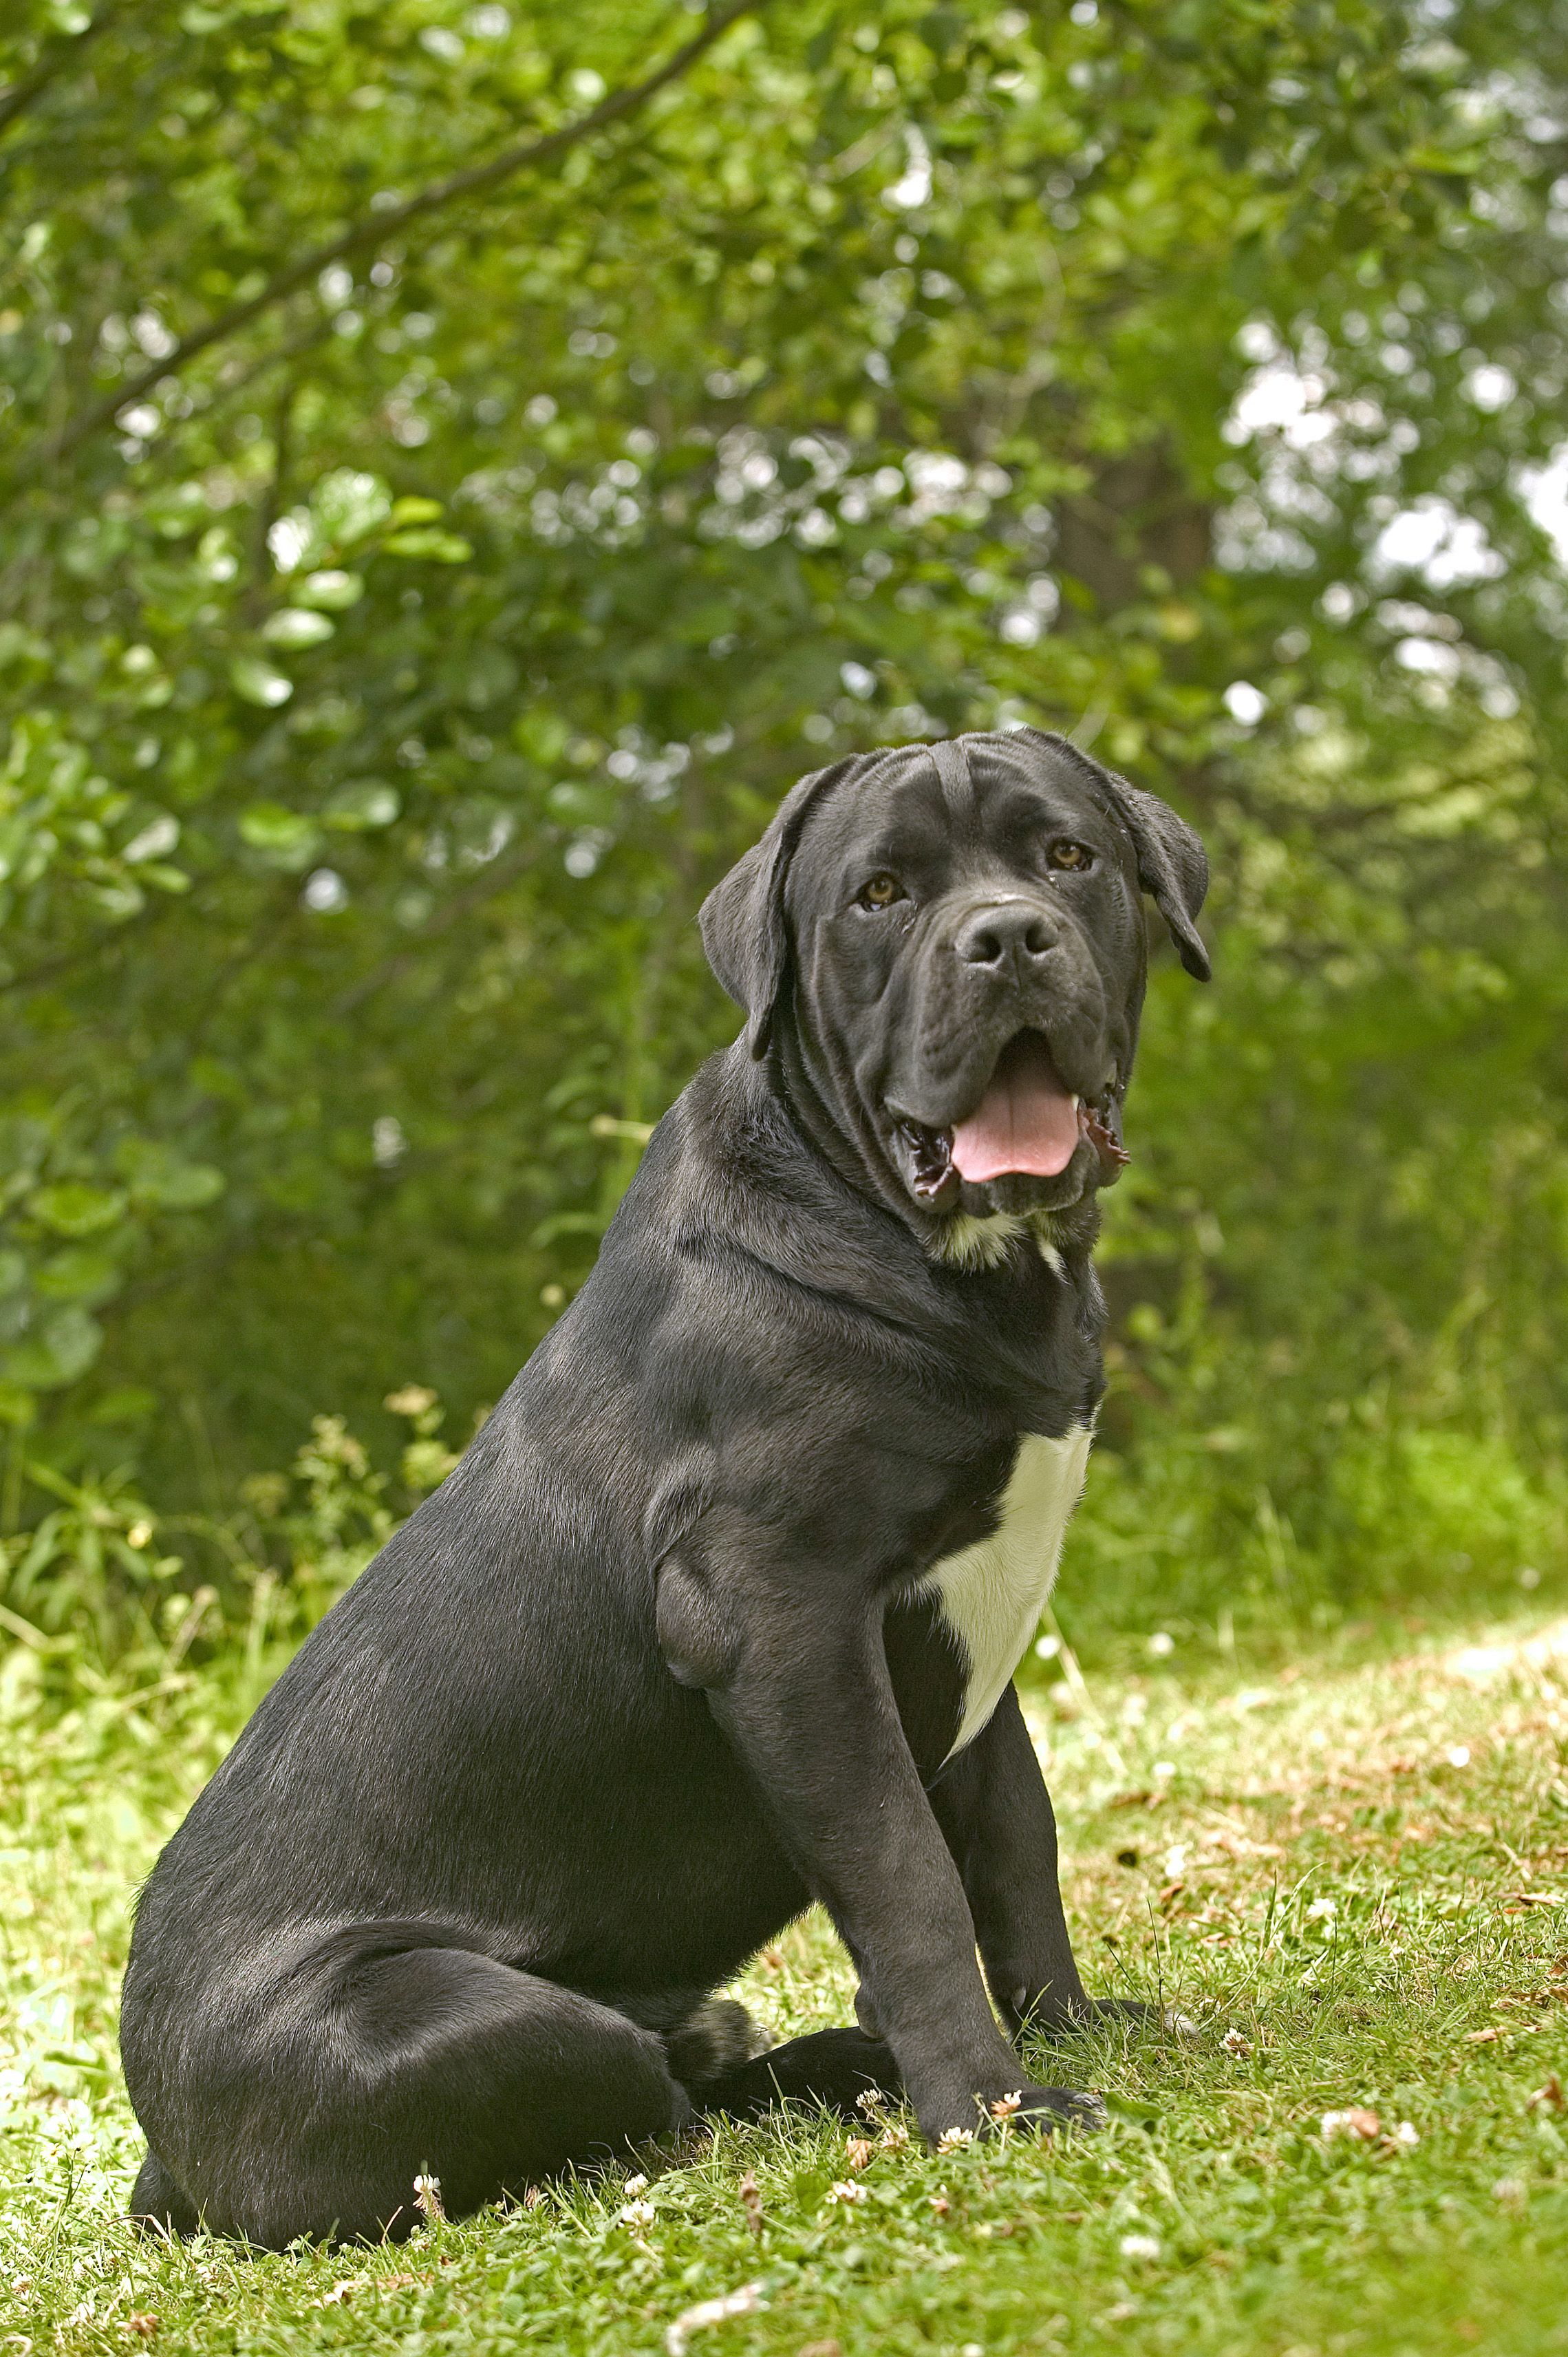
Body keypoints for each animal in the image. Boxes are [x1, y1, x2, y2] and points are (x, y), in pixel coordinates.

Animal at [122, 730, 1202, 2243]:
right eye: (879, 894)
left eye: (1066, 857)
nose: (1002, 937)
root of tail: (168, 2160)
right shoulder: (781, 1622)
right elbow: (907, 1881)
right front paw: (992, 2107)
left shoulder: (968, 1639)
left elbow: (1012, 1852)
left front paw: (1064, 2030)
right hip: (459, 2018)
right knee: (630, 2097)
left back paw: (843, 2065)